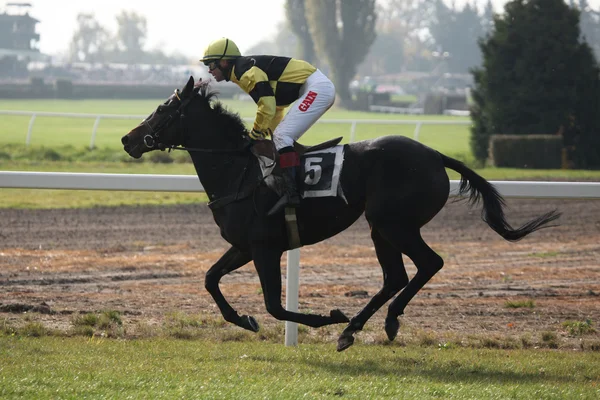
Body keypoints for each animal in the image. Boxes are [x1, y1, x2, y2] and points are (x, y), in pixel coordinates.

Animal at [119, 76, 560, 352]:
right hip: (381, 228)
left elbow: (274, 305)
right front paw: (244, 320)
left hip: (393, 223)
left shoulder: (265, 249)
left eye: (162, 109)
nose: (127, 139)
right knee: (396, 276)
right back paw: (357, 328)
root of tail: (435, 155)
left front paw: (324, 317)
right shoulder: (245, 246)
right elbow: (211, 280)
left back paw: (380, 321)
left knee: (428, 263)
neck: (240, 172)